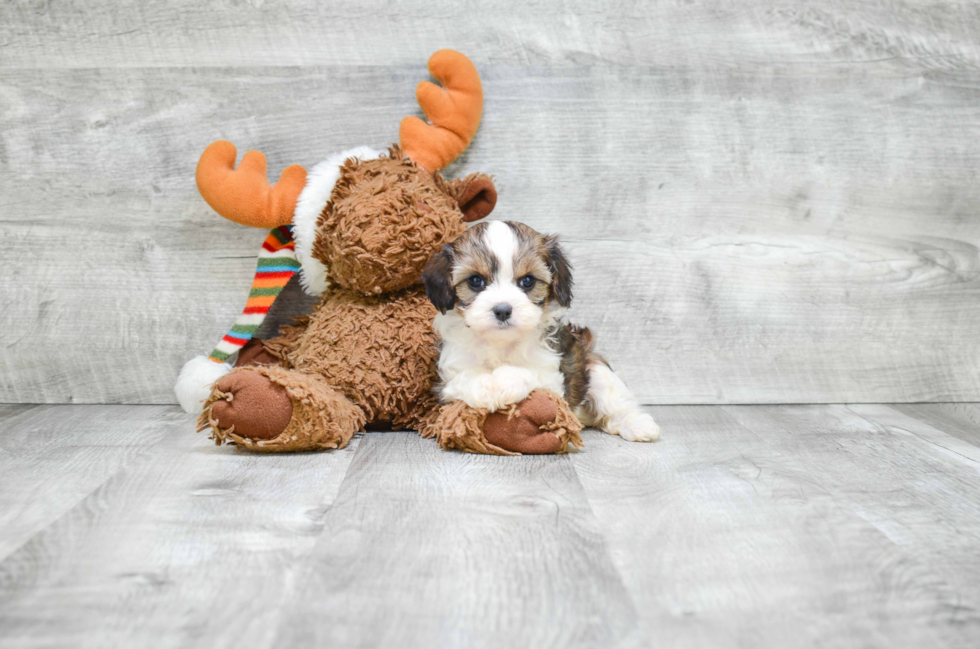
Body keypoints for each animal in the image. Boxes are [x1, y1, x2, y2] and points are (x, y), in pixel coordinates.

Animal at [422, 220, 660, 442]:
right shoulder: (448, 380)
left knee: (616, 399)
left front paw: (502, 384)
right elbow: (466, 378)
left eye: (527, 281)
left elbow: (527, 373)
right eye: (475, 281)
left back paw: (638, 425)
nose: (502, 310)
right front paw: (487, 388)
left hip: (594, 368)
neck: (500, 343)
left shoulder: (552, 377)